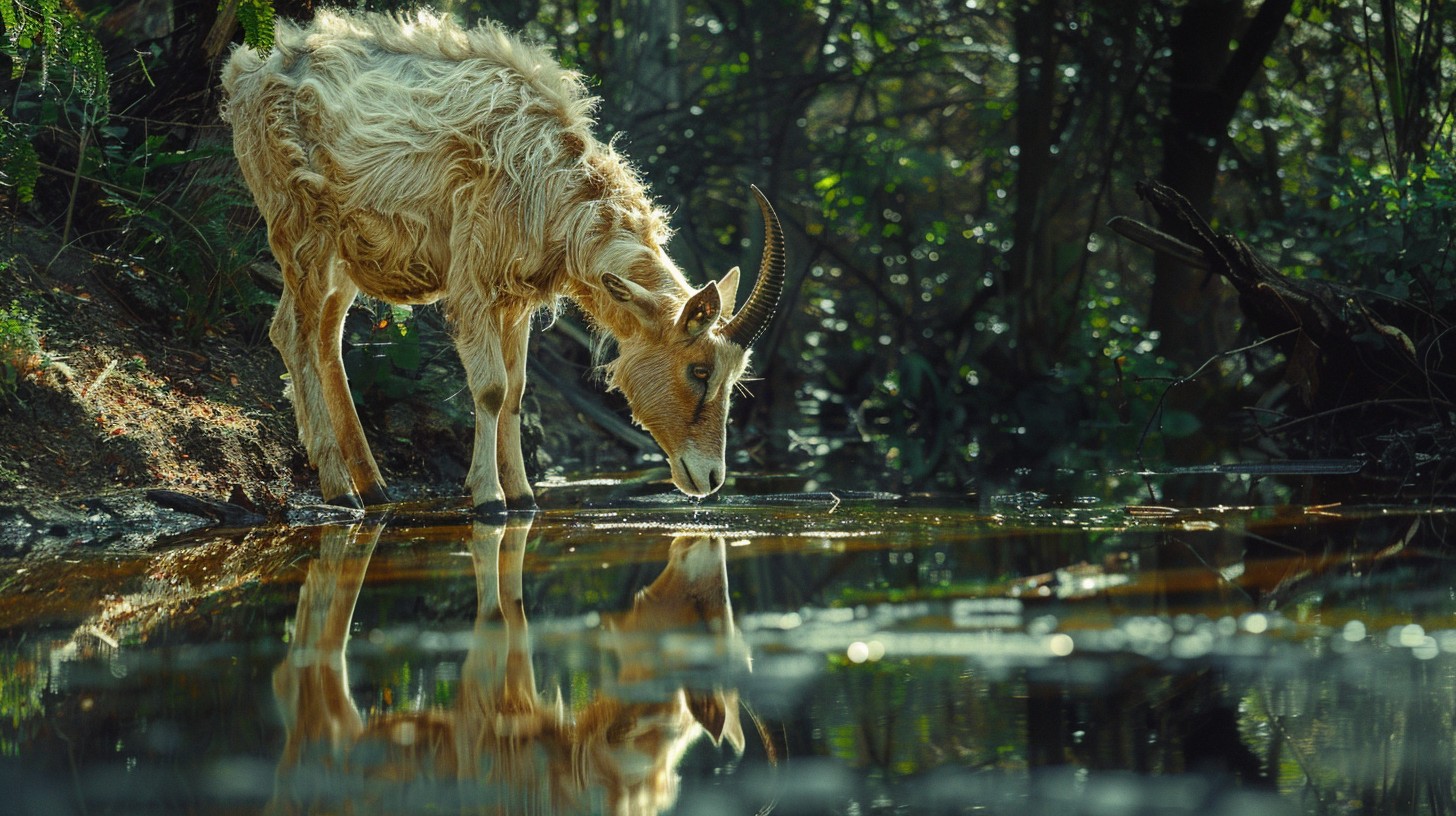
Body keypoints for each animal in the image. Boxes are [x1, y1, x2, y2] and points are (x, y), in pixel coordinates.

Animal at [220, 9, 785, 512]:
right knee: (292, 331)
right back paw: (339, 489)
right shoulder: (474, 282)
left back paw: (373, 487)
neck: (554, 185)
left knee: (325, 337)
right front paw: (489, 499)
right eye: (698, 370)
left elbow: (516, 391)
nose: (710, 478)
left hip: (342, 250)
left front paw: (524, 497)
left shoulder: (517, 297)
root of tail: (247, 72)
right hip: (299, 225)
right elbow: (491, 389)